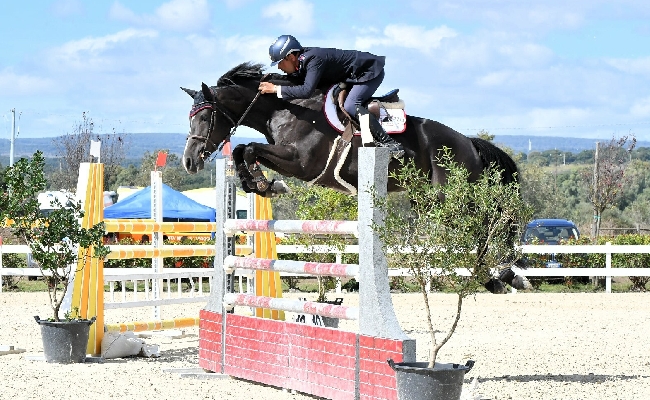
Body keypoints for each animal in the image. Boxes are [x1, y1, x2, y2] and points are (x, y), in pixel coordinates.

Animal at [180, 61, 524, 292]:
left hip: (450, 197)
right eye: (190, 117)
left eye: (206, 117)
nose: (189, 161)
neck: (285, 109)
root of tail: (468, 141)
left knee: (488, 222)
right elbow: (242, 151)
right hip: (427, 200)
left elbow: (250, 149)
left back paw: (503, 275)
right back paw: (499, 276)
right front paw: (260, 184)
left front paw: (266, 183)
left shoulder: (303, 163)